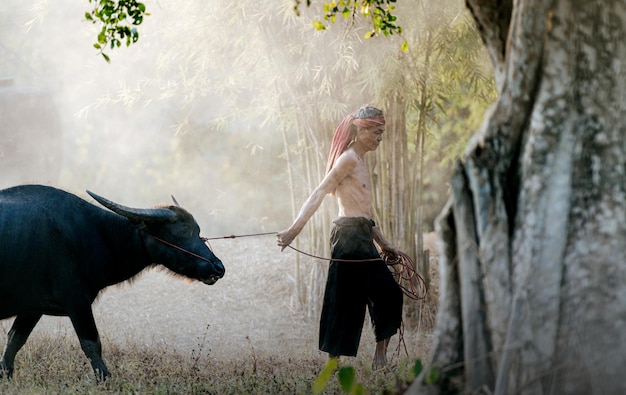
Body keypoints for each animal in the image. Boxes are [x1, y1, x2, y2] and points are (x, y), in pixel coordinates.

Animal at [0, 186, 224, 380]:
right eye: (183, 230)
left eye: (197, 230)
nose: (218, 267)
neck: (97, 234)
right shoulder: (77, 303)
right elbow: (92, 344)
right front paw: (105, 379)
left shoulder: (33, 308)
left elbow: (14, 340)